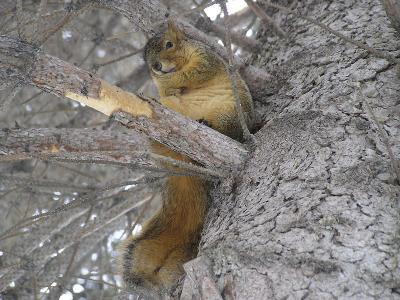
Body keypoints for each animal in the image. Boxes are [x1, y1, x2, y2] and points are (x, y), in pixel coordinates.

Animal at [120, 21, 255, 292]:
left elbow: (195, 73)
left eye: (169, 44)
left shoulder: (206, 59)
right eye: (147, 61)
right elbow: (166, 88)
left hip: (230, 113)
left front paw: (172, 81)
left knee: (228, 129)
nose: (156, 67)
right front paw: (159, 89)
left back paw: (208, 125)